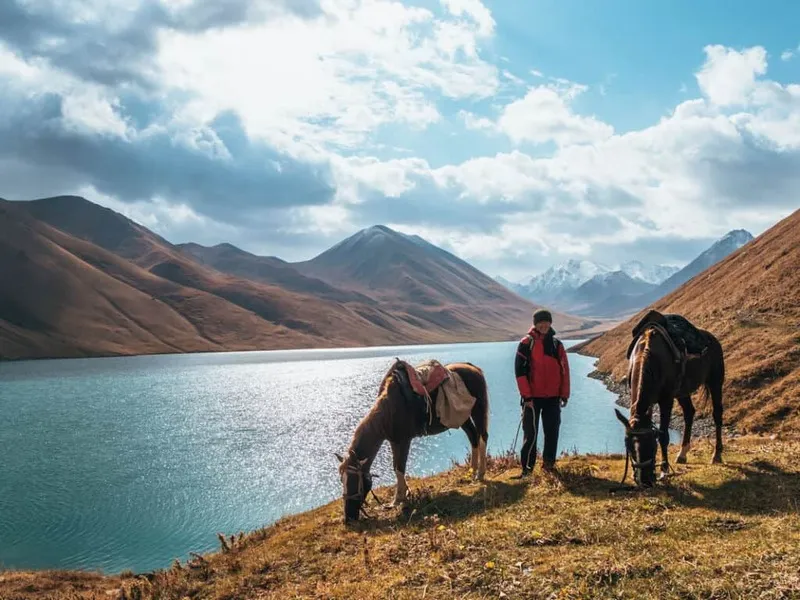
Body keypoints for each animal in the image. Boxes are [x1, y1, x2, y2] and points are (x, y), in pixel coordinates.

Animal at [336, 358, 488, 524]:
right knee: (473, 437)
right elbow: (396, 467)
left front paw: (400, 499)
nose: (348, 518)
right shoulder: (394, 441)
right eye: (342, 480)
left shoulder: (404, 441)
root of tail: (474, 369)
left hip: (478, 410)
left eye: (353, 481)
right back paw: (471, 472)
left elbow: (400, 468)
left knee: (482, 437)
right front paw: (400, 498)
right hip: (463, 417)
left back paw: (480, 474)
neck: (390, 409)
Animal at [612, 310, 724, 488]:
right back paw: (682, 453)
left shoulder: (666, 400)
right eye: (628, 446)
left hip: (715, 382)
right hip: (682, 392)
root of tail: (712, 339)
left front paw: (664, 470)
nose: (644, 481)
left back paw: (717, 455)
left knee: (717, 414)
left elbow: (664, 435)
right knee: (689, 413)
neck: (650, 357)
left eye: (651, 445)